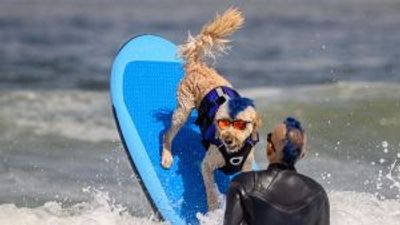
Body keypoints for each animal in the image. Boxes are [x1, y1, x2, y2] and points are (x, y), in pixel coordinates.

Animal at [161, 7, 260, 211]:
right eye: (222, 123)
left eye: (241, 124)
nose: (228, 139)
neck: (234, 153)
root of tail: (197, 66)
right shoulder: (207, 164)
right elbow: (210, 187)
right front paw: (214, 207)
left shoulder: (245, 168)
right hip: (182, 110)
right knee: (167, 134)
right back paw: (166, 155)